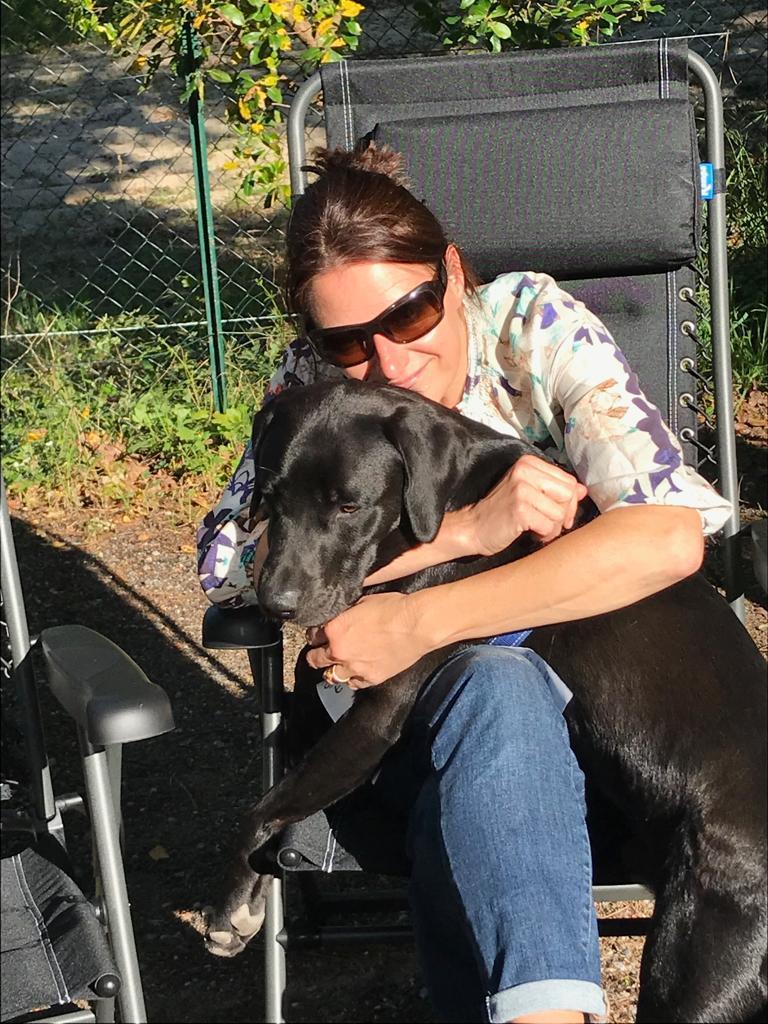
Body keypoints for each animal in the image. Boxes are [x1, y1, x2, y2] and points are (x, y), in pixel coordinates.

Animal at [205, 378, 768, 1024]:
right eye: (270, 498)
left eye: (348, 506)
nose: (276, 604)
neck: (446, 503)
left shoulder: (377, 711)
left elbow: (264, 806)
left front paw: (229, 905)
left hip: (697, 968)